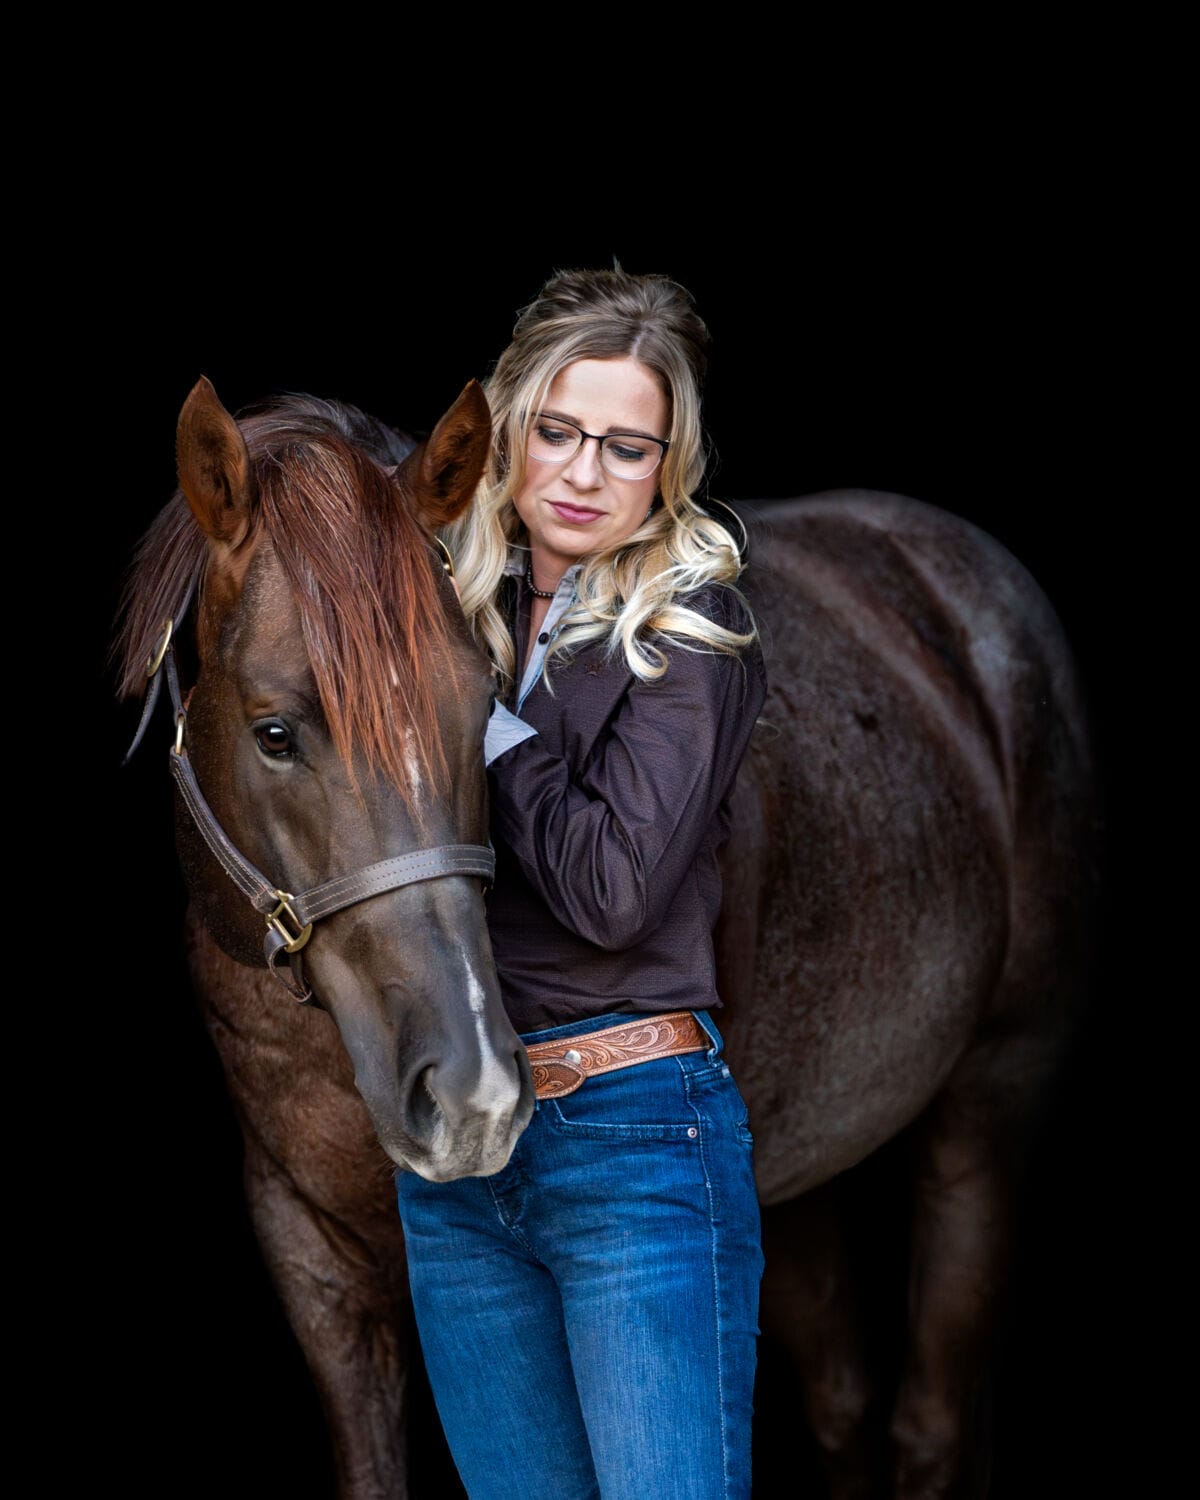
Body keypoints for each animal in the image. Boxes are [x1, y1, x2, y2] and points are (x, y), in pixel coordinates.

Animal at [113, 379, 1100, 1499]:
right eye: (275, 733)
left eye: (480, 707)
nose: (475, 1097)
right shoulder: (314, 1266)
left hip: (990, 1106)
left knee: (931, 1419)